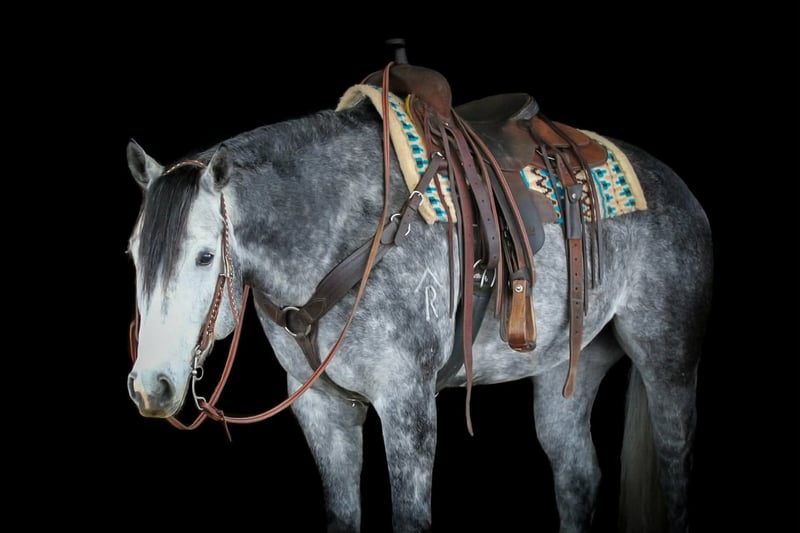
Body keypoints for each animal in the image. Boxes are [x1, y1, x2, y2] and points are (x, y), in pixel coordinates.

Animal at [124, 60, 713, 532]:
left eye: (205, 256)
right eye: (133, 254)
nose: (151, 386)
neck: (347, 231)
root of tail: (678, 188)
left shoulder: (407, 403)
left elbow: (410, 517)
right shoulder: (320, 408)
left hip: (668, 360)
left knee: (675, 466)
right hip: (571, 365)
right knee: (577, 475)